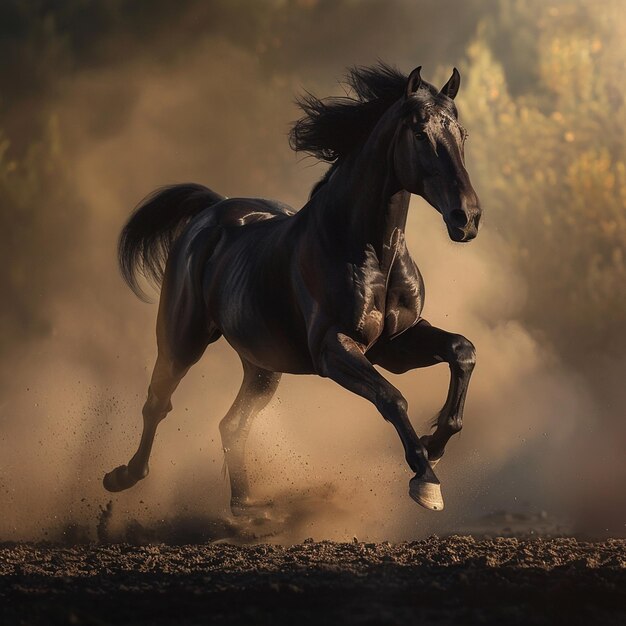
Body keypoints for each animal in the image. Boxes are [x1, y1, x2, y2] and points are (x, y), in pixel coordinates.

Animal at [105, 63, 480, 512]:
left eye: (462, 134)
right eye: (420, 133)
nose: (467, 218)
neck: (367, 250)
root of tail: (212, 210)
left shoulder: (394, 343)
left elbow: (461, 350)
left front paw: (435, 445)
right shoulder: (333, 349)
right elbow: (393, 398)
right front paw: (425, 478)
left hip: (262, 365)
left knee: (232, 425)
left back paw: (247, 511)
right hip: (182, 340)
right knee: (158, 403)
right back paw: (123, 476)